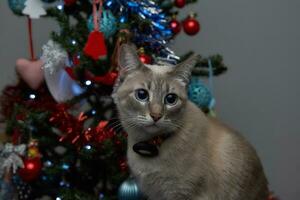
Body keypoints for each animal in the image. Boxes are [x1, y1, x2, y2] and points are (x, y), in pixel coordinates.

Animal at [113, 44, 270, 200]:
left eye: (170, 99)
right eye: (142, 95)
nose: (156, 116)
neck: (151, 144)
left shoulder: (185, 195)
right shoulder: (155, 195)